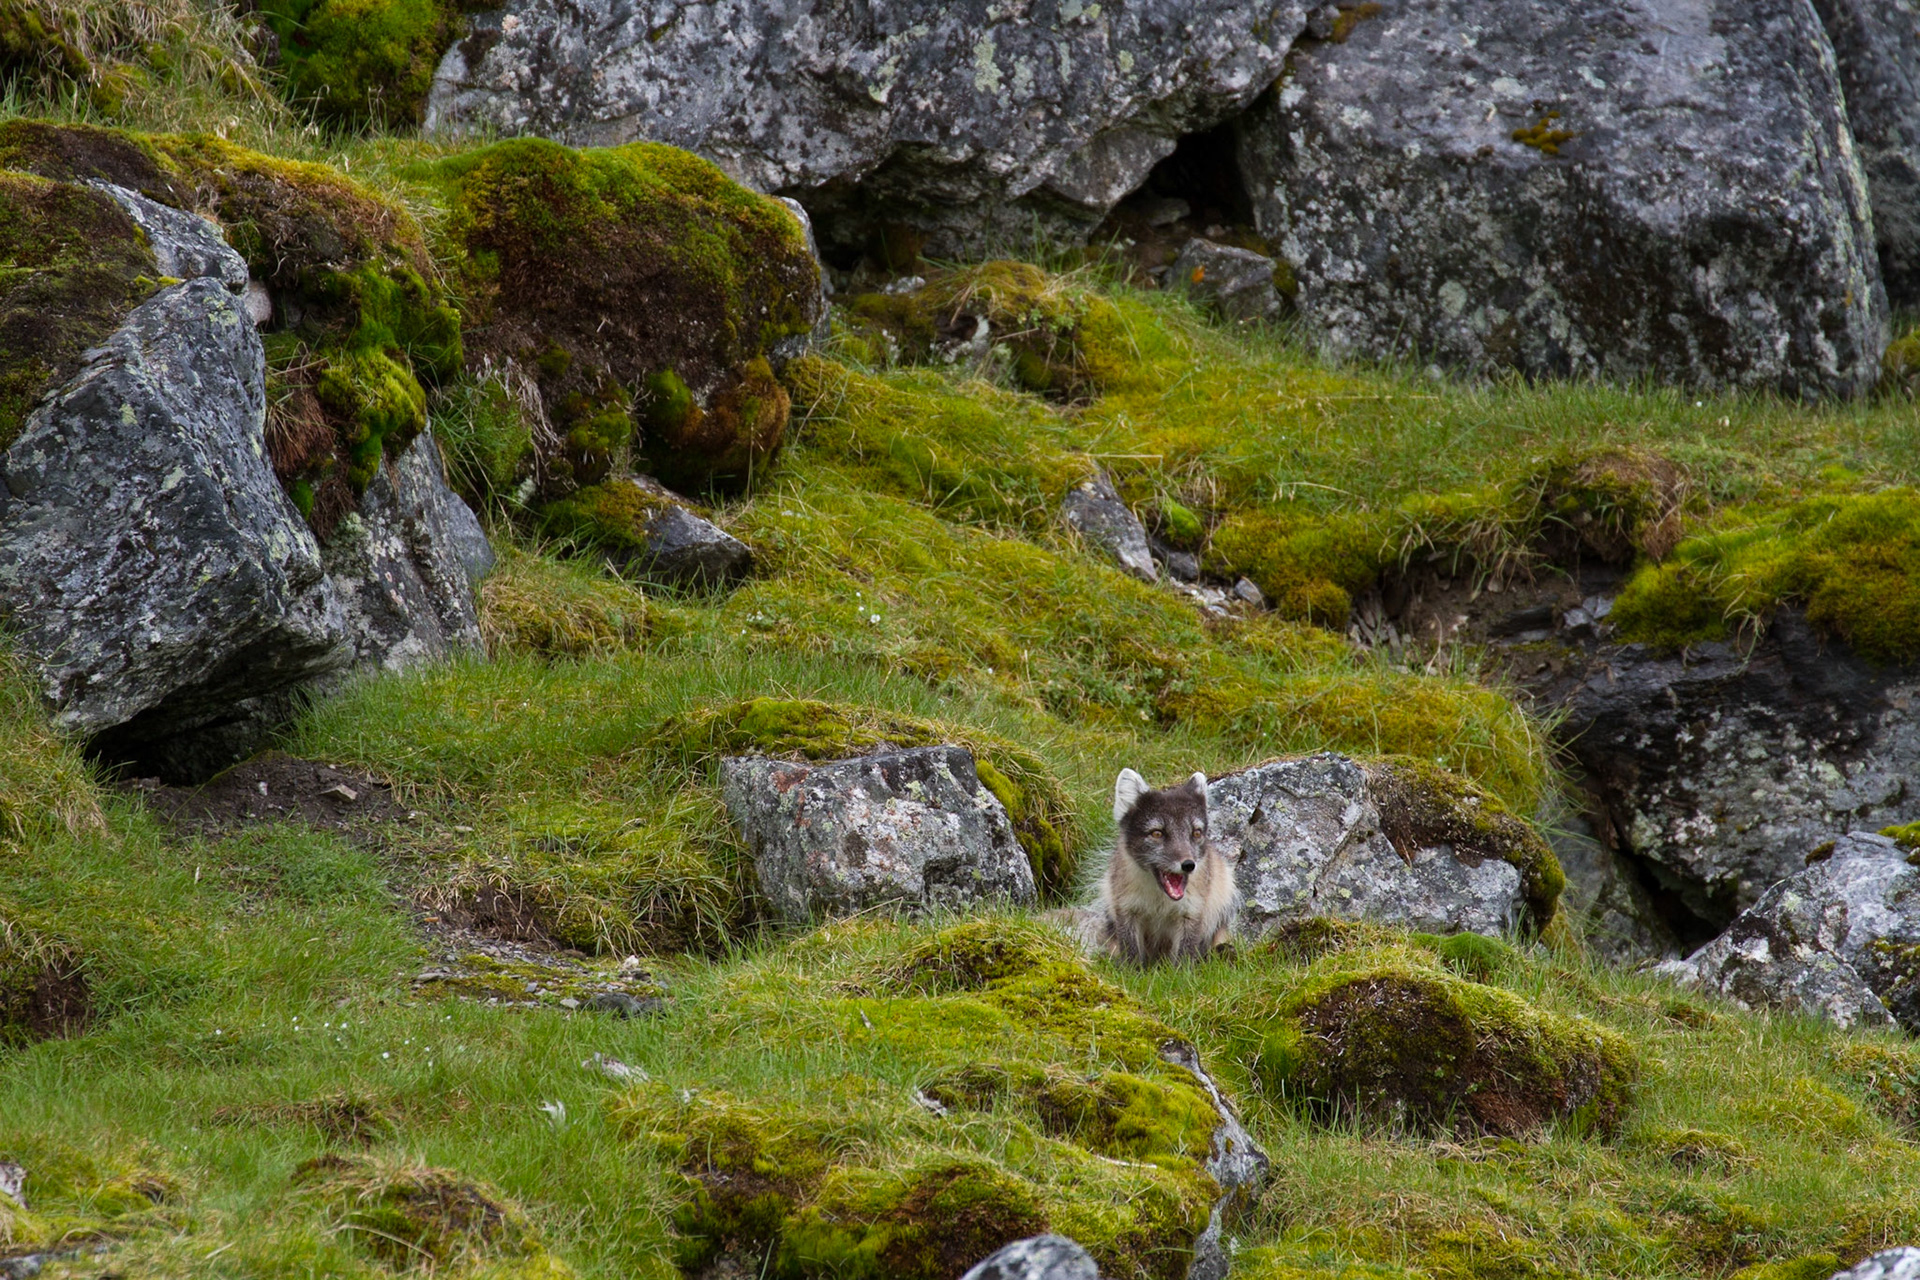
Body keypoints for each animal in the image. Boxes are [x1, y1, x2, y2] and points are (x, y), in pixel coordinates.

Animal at [1093, 768, 1238, 965]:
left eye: (1196, 833)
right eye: (1157, 833)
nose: (1189, 865)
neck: (1160, 902)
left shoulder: (1192, 912)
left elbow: (1184, 954)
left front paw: (1182, 971)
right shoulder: (1126, 908)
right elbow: (1131, 950)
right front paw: (1132, 969)